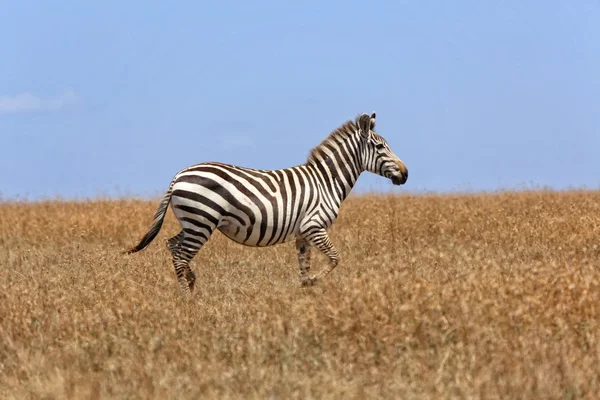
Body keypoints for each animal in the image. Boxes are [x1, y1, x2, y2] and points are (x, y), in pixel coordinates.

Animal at [126, 111, 408, 296]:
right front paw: (314, 283)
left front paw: (306, 292)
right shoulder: (314, 226)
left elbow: (304, 266)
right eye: (380, 147)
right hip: (201, 221)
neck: (326, 181)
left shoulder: (303, 234)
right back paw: (188, 297)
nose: (405, 174)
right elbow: (335, 259)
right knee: (181, 255)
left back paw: (191, 282)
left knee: (173, 245)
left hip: (192, 222)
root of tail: (178, 176)